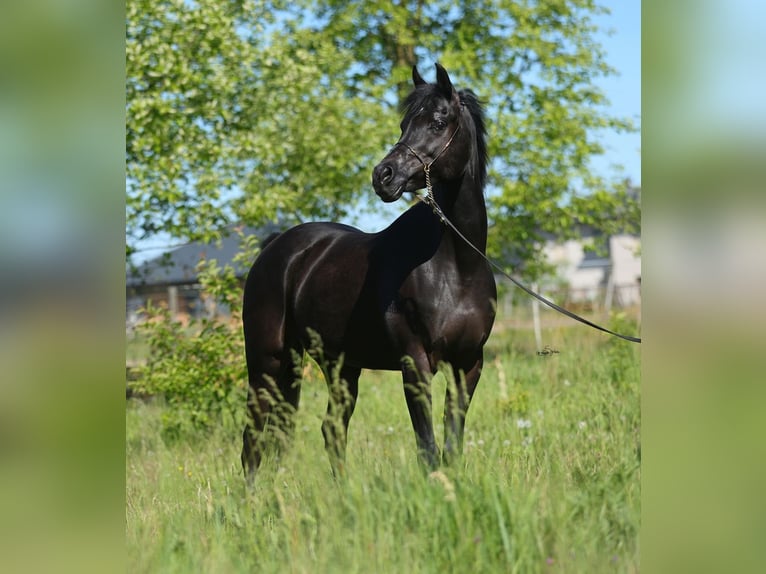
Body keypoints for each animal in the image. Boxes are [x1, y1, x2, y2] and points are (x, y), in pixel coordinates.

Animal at [241, 63, 496, 480]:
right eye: (404, 124)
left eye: (438, 122)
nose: (384, 176)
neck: (456, 267)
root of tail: (275, 249)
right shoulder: (415, 364)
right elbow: (428, 446)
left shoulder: (468, 365)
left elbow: (451, 443)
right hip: (267, 360)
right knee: (253, 437)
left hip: (339, 366)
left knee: (330, 430)